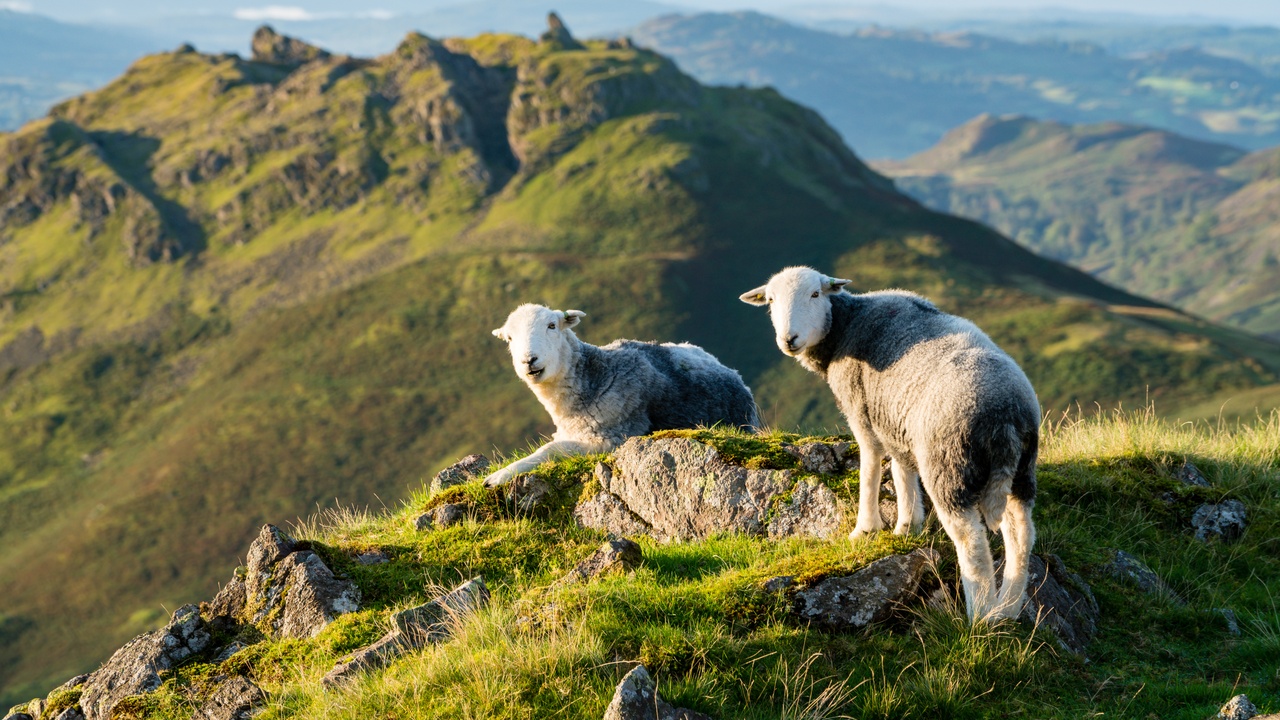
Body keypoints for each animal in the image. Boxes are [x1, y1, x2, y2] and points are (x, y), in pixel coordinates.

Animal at [483, 303, 760, 487]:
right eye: (509, 338)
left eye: (552, 326)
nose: (528, 361)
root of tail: (733, 373)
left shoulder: (614, 437)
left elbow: (551, 449)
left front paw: (497, 476)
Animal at [739, 267, 1039, 621]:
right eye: (771, 301)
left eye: (815, 294)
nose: (789, 339)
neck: (846, 326)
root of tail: (1003, 413)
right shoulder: (896, 420)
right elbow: (901, 469)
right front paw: (908, 525)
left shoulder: (862, 411)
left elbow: (870, 468)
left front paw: (865, 529)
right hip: (1021, 468)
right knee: (1021, 533)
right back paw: (1008, 607)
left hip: (948, 463)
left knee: (971, 541)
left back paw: (979, 614)